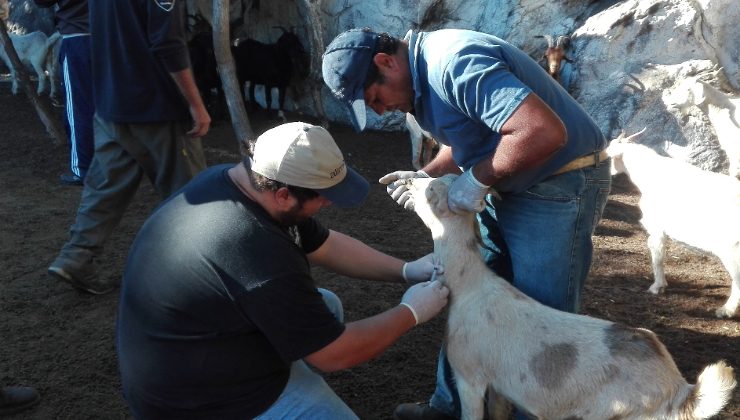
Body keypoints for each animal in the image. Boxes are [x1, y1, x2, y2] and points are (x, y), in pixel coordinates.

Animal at [404, 175, 736, 420]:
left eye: (431, 191)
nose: (409, 182)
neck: (469, 286)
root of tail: (678, 390)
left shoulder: (469, 375)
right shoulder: (499, 384)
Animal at [608, 135, 740, 318]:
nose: (609, 174)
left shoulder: (656, 229)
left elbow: (657, 257)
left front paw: (657, 287)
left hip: (731, 248)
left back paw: (726, 310)